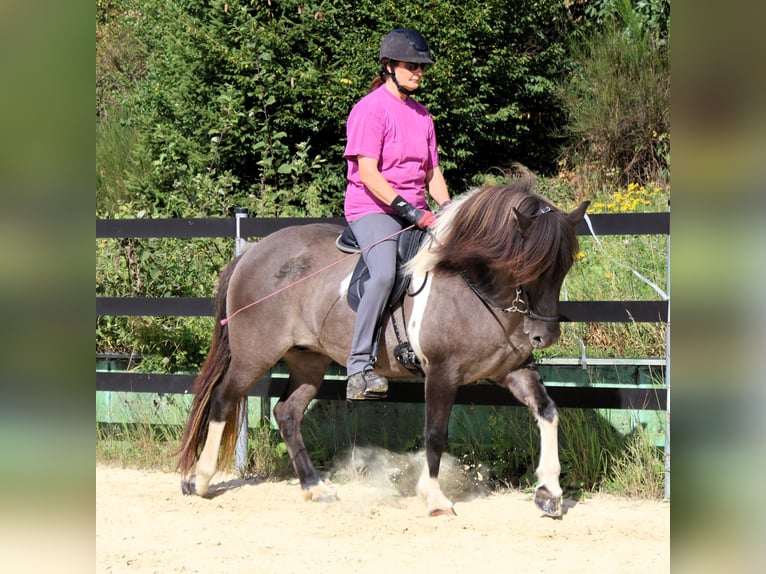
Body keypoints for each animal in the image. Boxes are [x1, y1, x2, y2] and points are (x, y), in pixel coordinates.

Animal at [177, 173, 589, 517]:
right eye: (527, 266)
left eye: (564, 266)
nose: (544, 336)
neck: (474, 286)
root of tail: (251, 253)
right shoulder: (441, 372)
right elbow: (435, 433)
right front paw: (435, 499)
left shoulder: (513, 370)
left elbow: (548, 411)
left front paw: (549, 493)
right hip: (254, 355)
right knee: (223, 399)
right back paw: (199, 479)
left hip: (308, 361)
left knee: (287, 413)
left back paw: (316, 488)